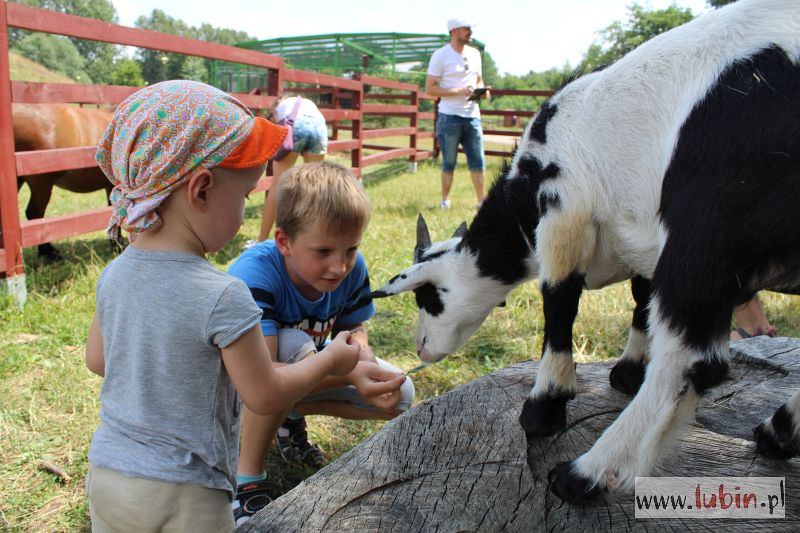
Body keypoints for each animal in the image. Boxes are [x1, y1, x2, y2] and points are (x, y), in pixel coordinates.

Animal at [374, 0, 800, 502]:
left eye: (428, 296)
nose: (420, 348)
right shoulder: (641, 242)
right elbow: (639, 301)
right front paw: (627, 372)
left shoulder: (564, 208)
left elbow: (559, 301)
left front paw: (545, 406)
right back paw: (777, 433)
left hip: (708, 227)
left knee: (694, 362)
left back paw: (586, 473)